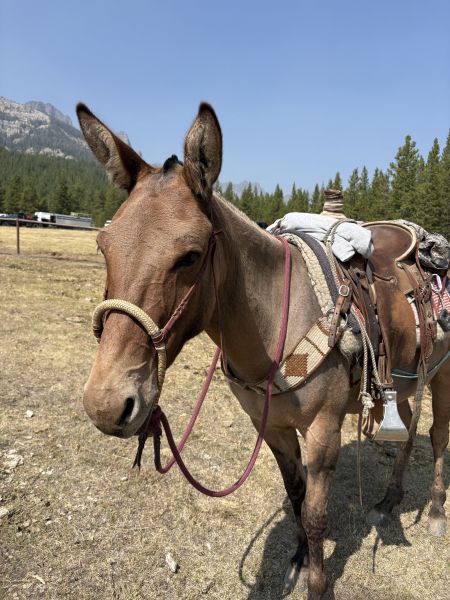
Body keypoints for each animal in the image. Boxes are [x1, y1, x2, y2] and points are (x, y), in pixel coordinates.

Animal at [77, 102, 450, 600]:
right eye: (104, 246)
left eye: (190, 255)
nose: (107, 404)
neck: (277, 321)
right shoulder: (271, 427)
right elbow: (296, 496)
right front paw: (298, 560)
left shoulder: (324, 430)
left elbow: (315, 514)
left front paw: (318, 585)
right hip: (408, 381)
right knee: (407, 431)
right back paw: (389, 502)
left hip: (444, 375)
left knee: (438, 435)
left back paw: (434, 513)